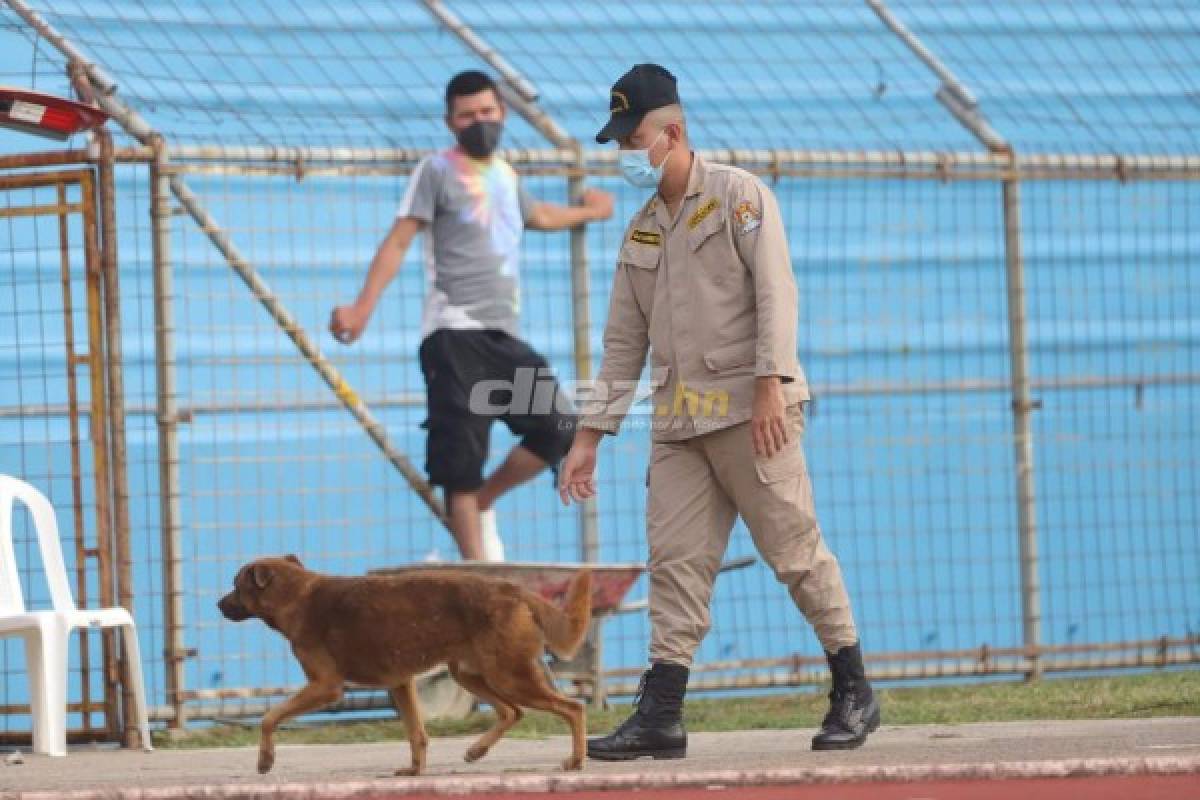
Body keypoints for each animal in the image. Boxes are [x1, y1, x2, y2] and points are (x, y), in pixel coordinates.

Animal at [218, 556, 592, 777]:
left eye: (235, 585)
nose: (218, 604)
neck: (296, 596)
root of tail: (513, 589)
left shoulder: (325, 687)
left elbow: (269, 718)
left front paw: (265, 760)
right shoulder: (400, 683)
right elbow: (417, 734)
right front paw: (415, 771)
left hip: (509, 674)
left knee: (572, 708)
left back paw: (576, 761)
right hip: (471, 673)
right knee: (512, 711)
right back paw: (477, 750)